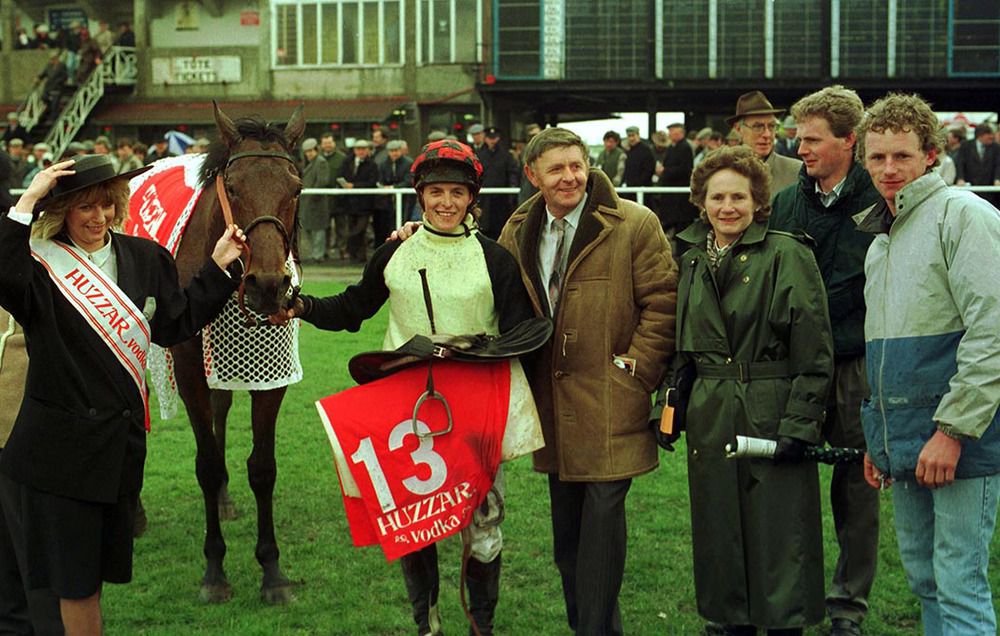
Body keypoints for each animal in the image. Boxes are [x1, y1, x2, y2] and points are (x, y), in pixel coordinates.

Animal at [169, 102, 304, 604]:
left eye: (295, 187)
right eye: (233, 187)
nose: (267, 284)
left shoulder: (271, 372)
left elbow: (262, 468)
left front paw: (272, 571)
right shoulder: (189, 368)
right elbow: (206, 464)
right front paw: (214, 570)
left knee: (221, 407)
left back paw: (226, 500)